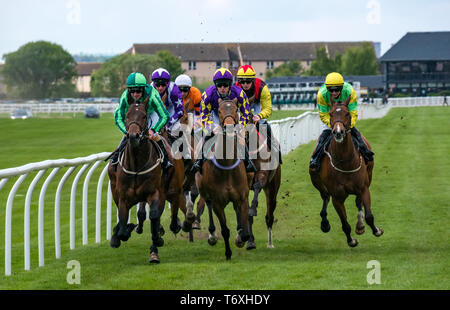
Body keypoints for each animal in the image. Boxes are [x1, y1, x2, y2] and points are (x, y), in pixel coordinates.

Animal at [107, 98, 165, 262]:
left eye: (144, 116)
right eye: (127, 116)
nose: (133, 136)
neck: (137, 165)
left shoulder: (154, 192)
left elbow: (154, 215)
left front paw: (157, 240)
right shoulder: (123, 197)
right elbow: (122, 228)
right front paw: (123, 230)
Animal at [195, 99, 251, 260]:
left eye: (235, 109)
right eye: (219, 111)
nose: (230, 126)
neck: (227, 166)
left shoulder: (243, 197)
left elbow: (245, 231)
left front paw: (240, 237)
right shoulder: (217, 203)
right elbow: (225, 230)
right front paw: (228, 253)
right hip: (204, 191)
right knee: (206, 204)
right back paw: (212, 235)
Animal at [310, 96, 384, 247]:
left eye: (348, 114)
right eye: (331, 114)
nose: (338, 132)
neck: (345, 163)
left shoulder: (364, 188)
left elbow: (368, 215)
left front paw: (376, 230)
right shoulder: (337, 198)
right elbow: (345, 224)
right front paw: (351, 240)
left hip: (369, 175)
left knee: (358, 202)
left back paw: (360, 225)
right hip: (317, 181)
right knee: (325, 197)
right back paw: (324, 223)